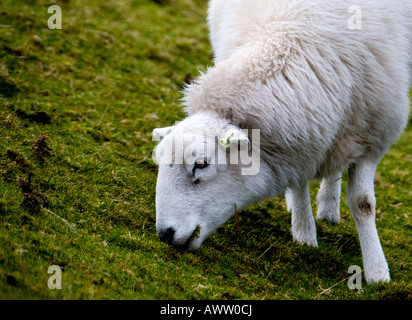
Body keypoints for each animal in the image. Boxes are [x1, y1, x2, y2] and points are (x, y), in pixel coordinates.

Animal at [152, 0, 412, 284]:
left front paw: (378, 272)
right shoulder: (303, 140)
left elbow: (363, 204)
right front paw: (305, 234)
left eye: (201, 164)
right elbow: (299, 183)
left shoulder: (372, 138)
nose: (165, 233)